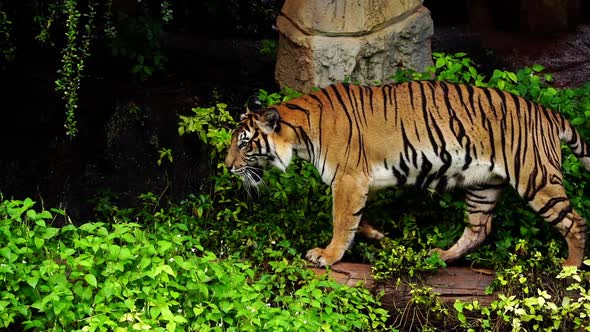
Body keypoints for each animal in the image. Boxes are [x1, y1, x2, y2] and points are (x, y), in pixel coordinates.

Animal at [223, 80, 590, 268]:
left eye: (244, 143)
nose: (226, 166)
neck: (300, 133)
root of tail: (547, 112)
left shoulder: (348, 179)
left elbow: (341, 220)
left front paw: (328, 255)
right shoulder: (363, 181)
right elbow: (356, 218)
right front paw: (377, 236)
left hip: (535, 179)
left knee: (575, 222)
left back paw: (570, 268)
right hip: (484, 185)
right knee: (479, 229)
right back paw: (441, 255)